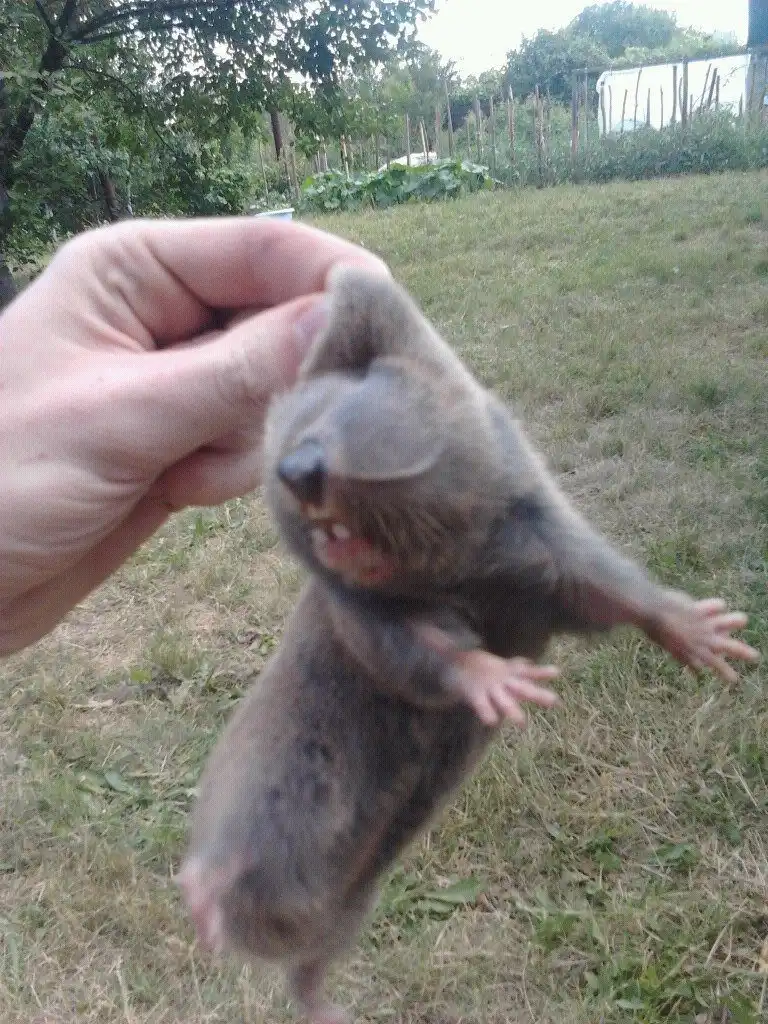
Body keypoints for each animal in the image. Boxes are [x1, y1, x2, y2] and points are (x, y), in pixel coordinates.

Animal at [178, 267, 758, 1024]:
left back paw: (322, 999)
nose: (297, 471)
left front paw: (708, 634)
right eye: (291, 428)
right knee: (231, 867)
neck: (452, 566)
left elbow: (605, 589)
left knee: (310, 967)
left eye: (357, 406)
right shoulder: (356, 612)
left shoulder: (538, 545)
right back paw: (203, 897)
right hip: (261, 803)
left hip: (350, 909)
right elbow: (414, 652)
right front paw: (500, 680)